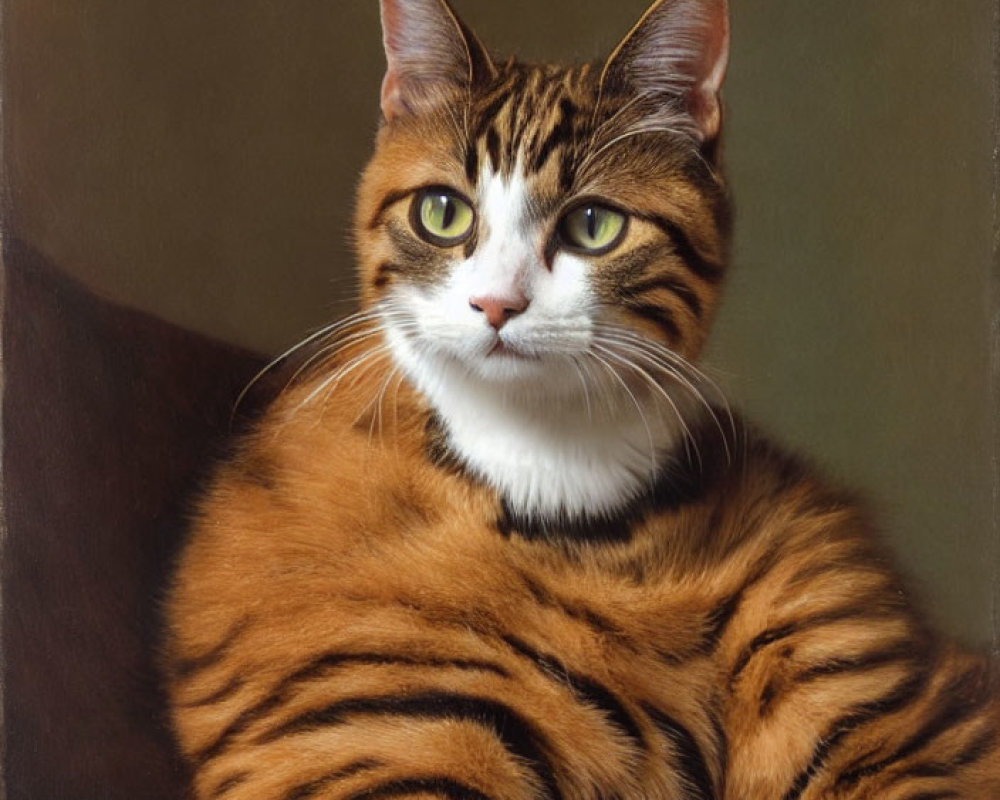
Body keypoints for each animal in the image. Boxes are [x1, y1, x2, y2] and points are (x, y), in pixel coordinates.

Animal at [164, 1, 1000, 800]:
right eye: (442, 212)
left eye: (594, 225)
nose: (496, 305)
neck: (552, 473)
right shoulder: (366, 734)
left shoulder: (890, 706)